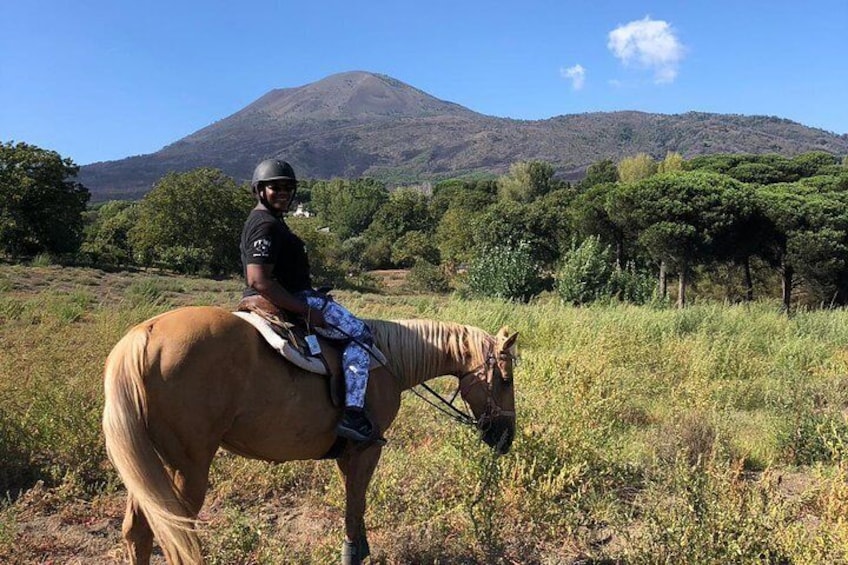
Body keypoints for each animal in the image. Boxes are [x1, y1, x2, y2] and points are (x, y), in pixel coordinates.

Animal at [105, 306, 516, 560]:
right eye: (506, 379)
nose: (505, 438)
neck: (386, 361)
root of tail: (143, 335)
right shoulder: (367, 449)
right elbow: (356, 505)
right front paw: (353, 553)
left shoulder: (347, 454)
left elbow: (353, 504)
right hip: (186, 470)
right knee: (174, 538)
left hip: (151, 465)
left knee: (139, 531)